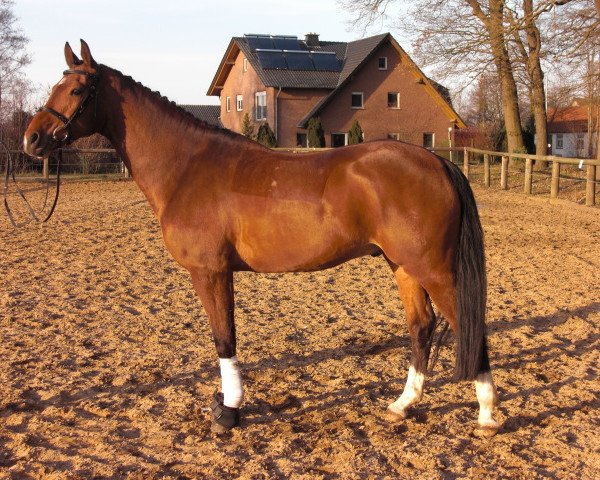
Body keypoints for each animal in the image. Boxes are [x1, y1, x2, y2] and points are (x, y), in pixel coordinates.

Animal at [23, 41, 500, 436]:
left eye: (76, 89)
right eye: (58, 84)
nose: (33, 138)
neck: (187, 167)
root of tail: (437, 162)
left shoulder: (210, 272)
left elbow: (224, 338)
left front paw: (228, 412)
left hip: (432, 268)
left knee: (468, 323)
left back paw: (487, 415)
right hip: (401, 265)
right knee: (422, 327)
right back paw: (403, 404)